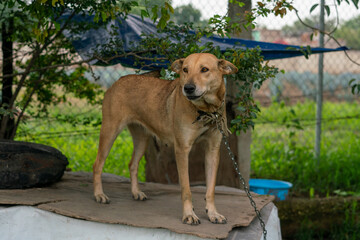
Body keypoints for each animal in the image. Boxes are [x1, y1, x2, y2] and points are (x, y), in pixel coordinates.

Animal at [94, 52, 238, 225]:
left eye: (204, 69)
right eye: (185, 70)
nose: (188, 88)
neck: (205, 110)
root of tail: (119, 80)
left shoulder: (212, 150)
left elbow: (210, 190)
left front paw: (213, 214)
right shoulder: (182, 150)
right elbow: (186, 189)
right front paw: (189, 214)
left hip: (142, 139)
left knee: (132, 164)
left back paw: (136, 192)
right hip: (109, 132)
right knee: (97, 165)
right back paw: (99, 195)